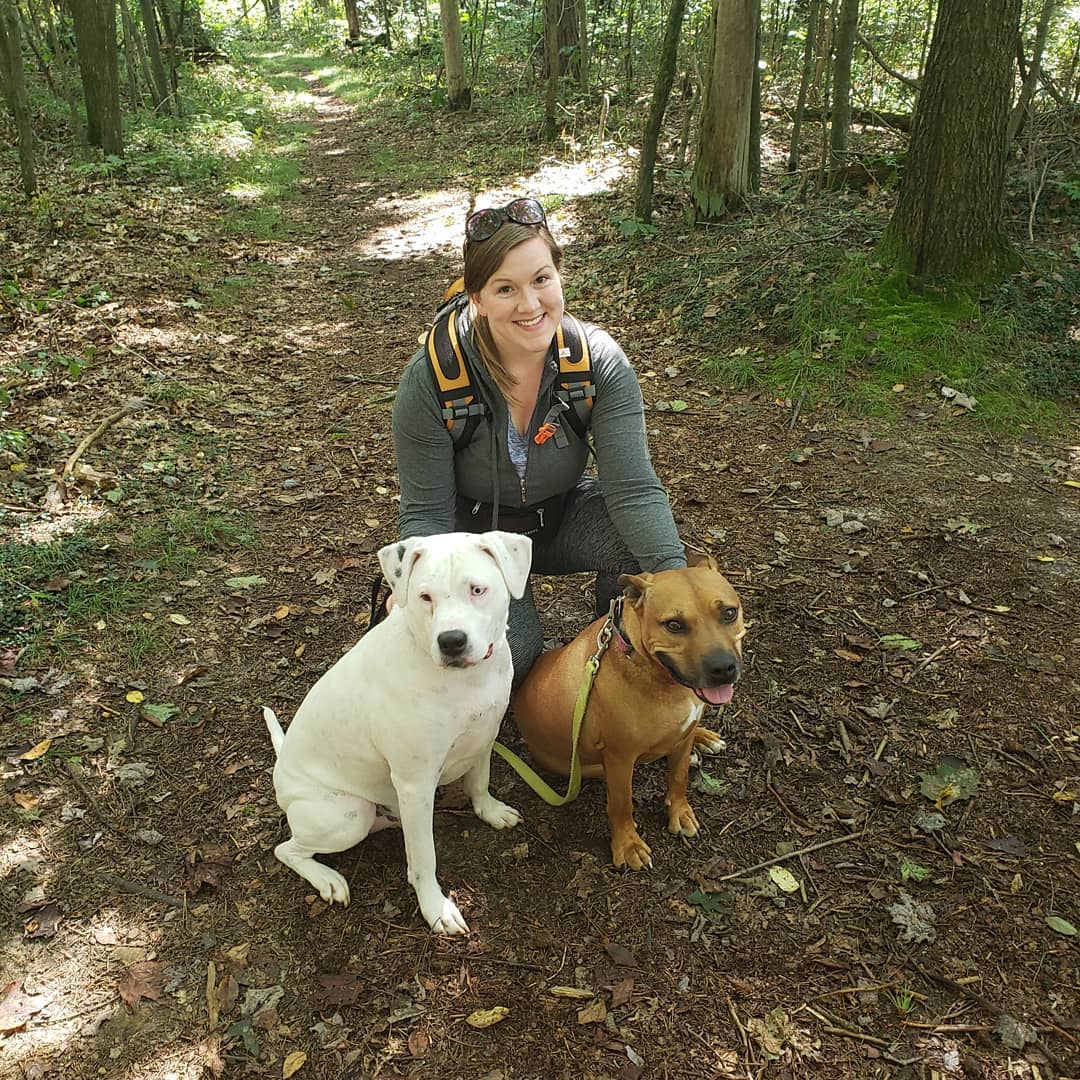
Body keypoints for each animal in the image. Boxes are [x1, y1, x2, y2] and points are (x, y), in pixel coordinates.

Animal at [262, 527, 531, 933]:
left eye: (477, 589)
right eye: (425, 597)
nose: (451, 641)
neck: (464, 681)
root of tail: (281, 772)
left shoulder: (485, 737)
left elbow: (480, 782)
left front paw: (490, 811)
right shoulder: (415, 784)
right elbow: (424, 859)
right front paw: (436, 908)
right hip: (349, 814)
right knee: (287, 849)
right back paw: (327, 879)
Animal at [511, 561, 747, 872]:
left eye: (729, 613)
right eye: (674, 625)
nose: (722, 668)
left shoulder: (681, 740)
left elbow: (679, 777)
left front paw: (680, 811)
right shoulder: (619, 759)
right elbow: (622, 804)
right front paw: (628, 845)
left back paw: (703, 737)